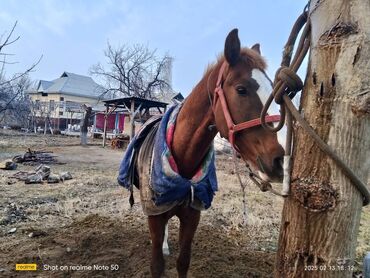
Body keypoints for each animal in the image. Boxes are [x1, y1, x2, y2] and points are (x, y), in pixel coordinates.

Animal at [136, 29, 284, 276]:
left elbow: (183, 262)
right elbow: (157, 265)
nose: (279, 161)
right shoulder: (154, 216)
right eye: (241, 89)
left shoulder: (192, 218)